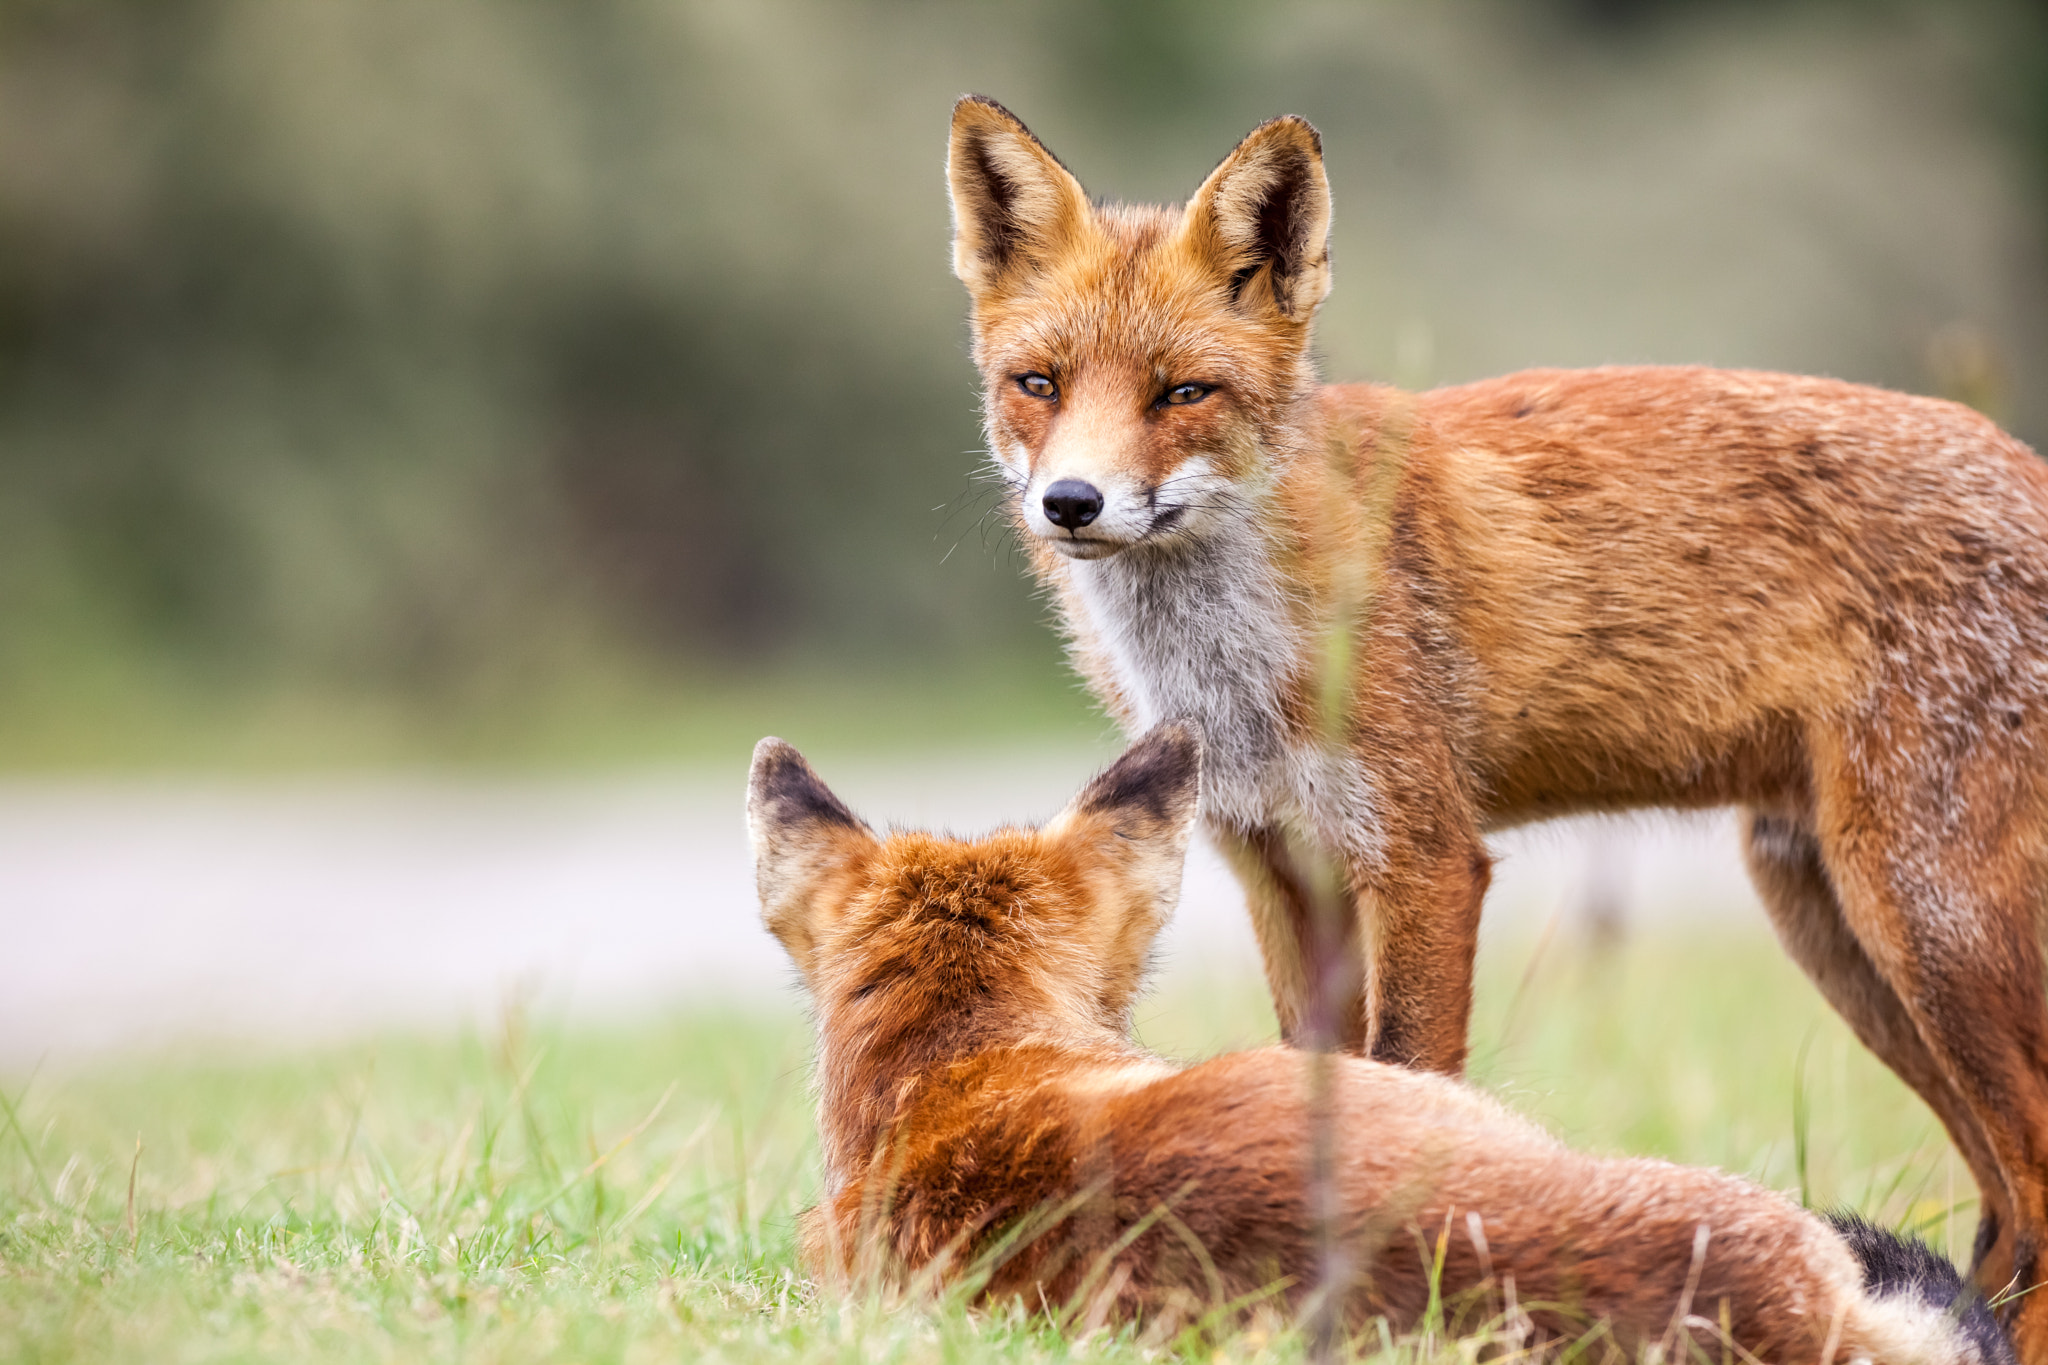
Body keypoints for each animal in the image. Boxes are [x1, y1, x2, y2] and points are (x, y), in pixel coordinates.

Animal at [946, 98, 2048, 1358]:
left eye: (1182, 394)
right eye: (1037, 382)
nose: (1070, 503)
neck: (1235, 654)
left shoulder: (1423, 858)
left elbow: (1407, 1080)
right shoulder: (1276, 864)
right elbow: (1316, 1085)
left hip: (1922, 918)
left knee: (2034, 1189)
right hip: (1835, 927)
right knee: (1999, 1212)